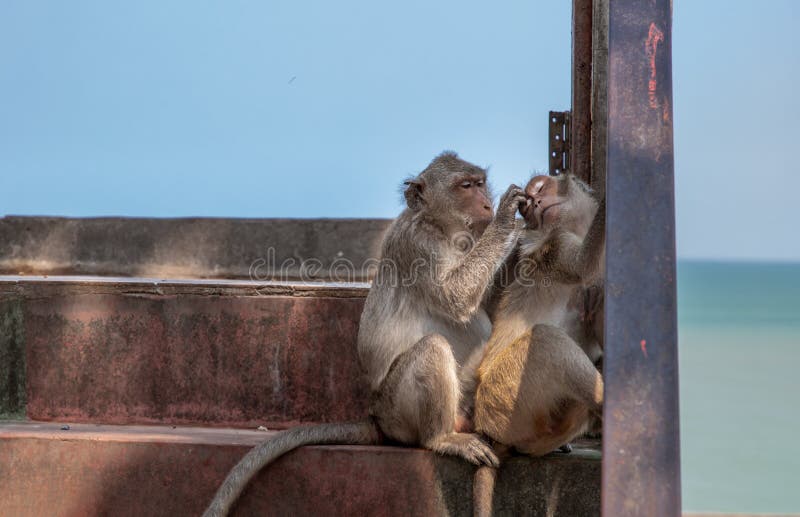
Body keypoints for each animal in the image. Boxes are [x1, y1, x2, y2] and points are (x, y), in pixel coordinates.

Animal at [203, 150, 524, 516]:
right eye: (465, 186)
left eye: (481, 183)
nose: (486, 204)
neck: (441, 227)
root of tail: (376, 418)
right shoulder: (418, 246)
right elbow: (455, 297)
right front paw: (508, 220)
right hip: (396, 409)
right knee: (432, 347)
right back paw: (441, 438)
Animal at [472, 173, 604, 516]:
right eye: (528, 205)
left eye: (541, 189)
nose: (538, 202)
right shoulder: (557, 247)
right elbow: (584, 265)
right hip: (506, 399)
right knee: (546, 339)